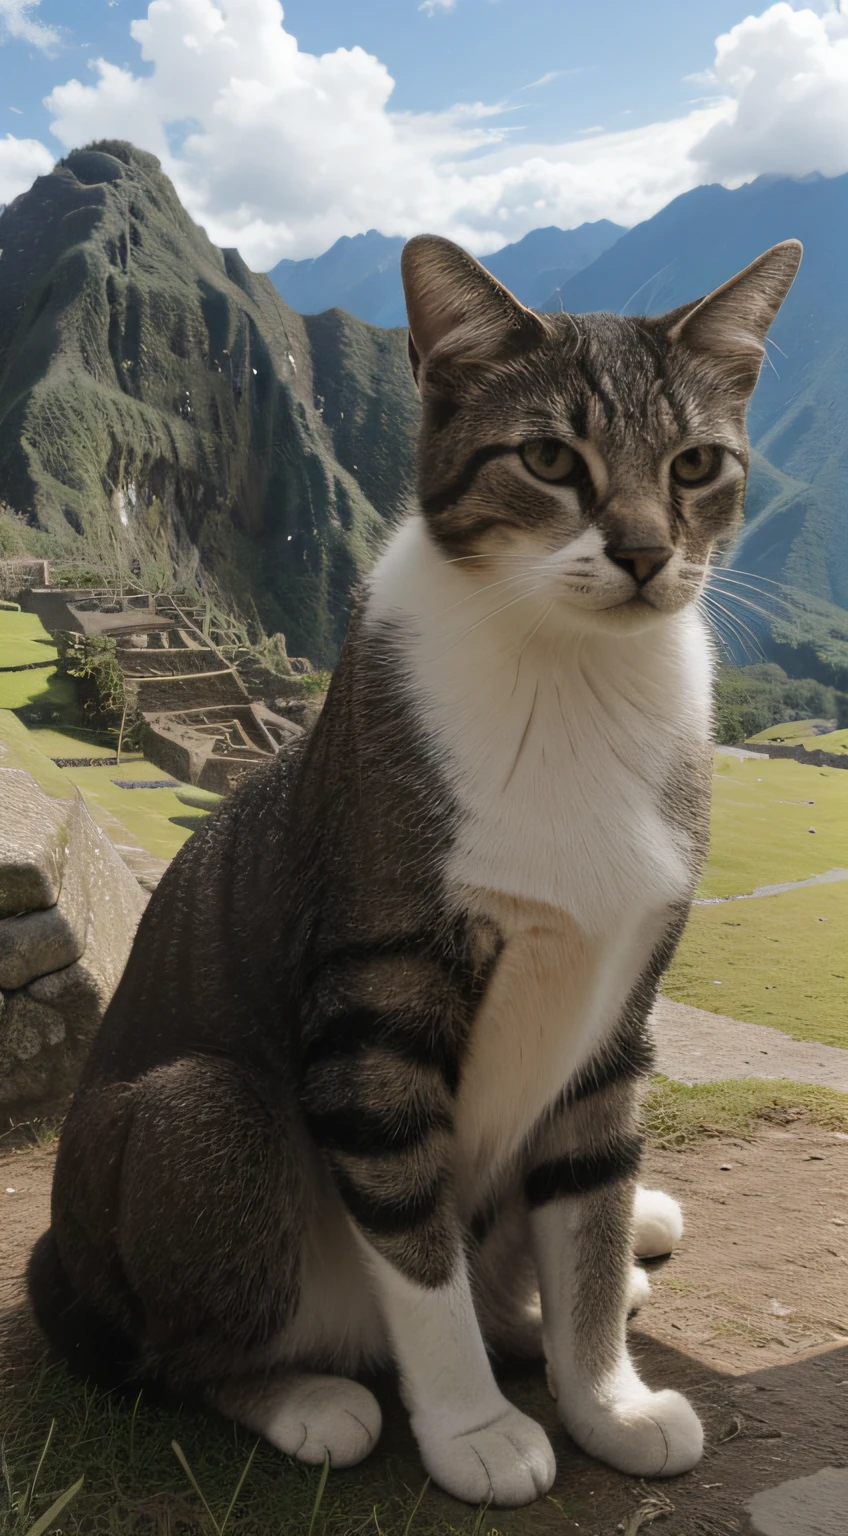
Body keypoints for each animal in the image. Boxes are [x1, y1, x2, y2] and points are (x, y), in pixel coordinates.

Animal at [29, 233, 798, 1505]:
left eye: (695, 464)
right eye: (547, 458)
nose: (644, 553)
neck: (572, 676)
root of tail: (59, 1263)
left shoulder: (618, 1013)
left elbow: (588, 1217)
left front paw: (605, 1397)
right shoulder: (376, 1009)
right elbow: (412, 1237)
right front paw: (472, 1427)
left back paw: (544, 1309)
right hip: (196, 1124)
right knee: (176, 1343)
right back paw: (301, 1393)